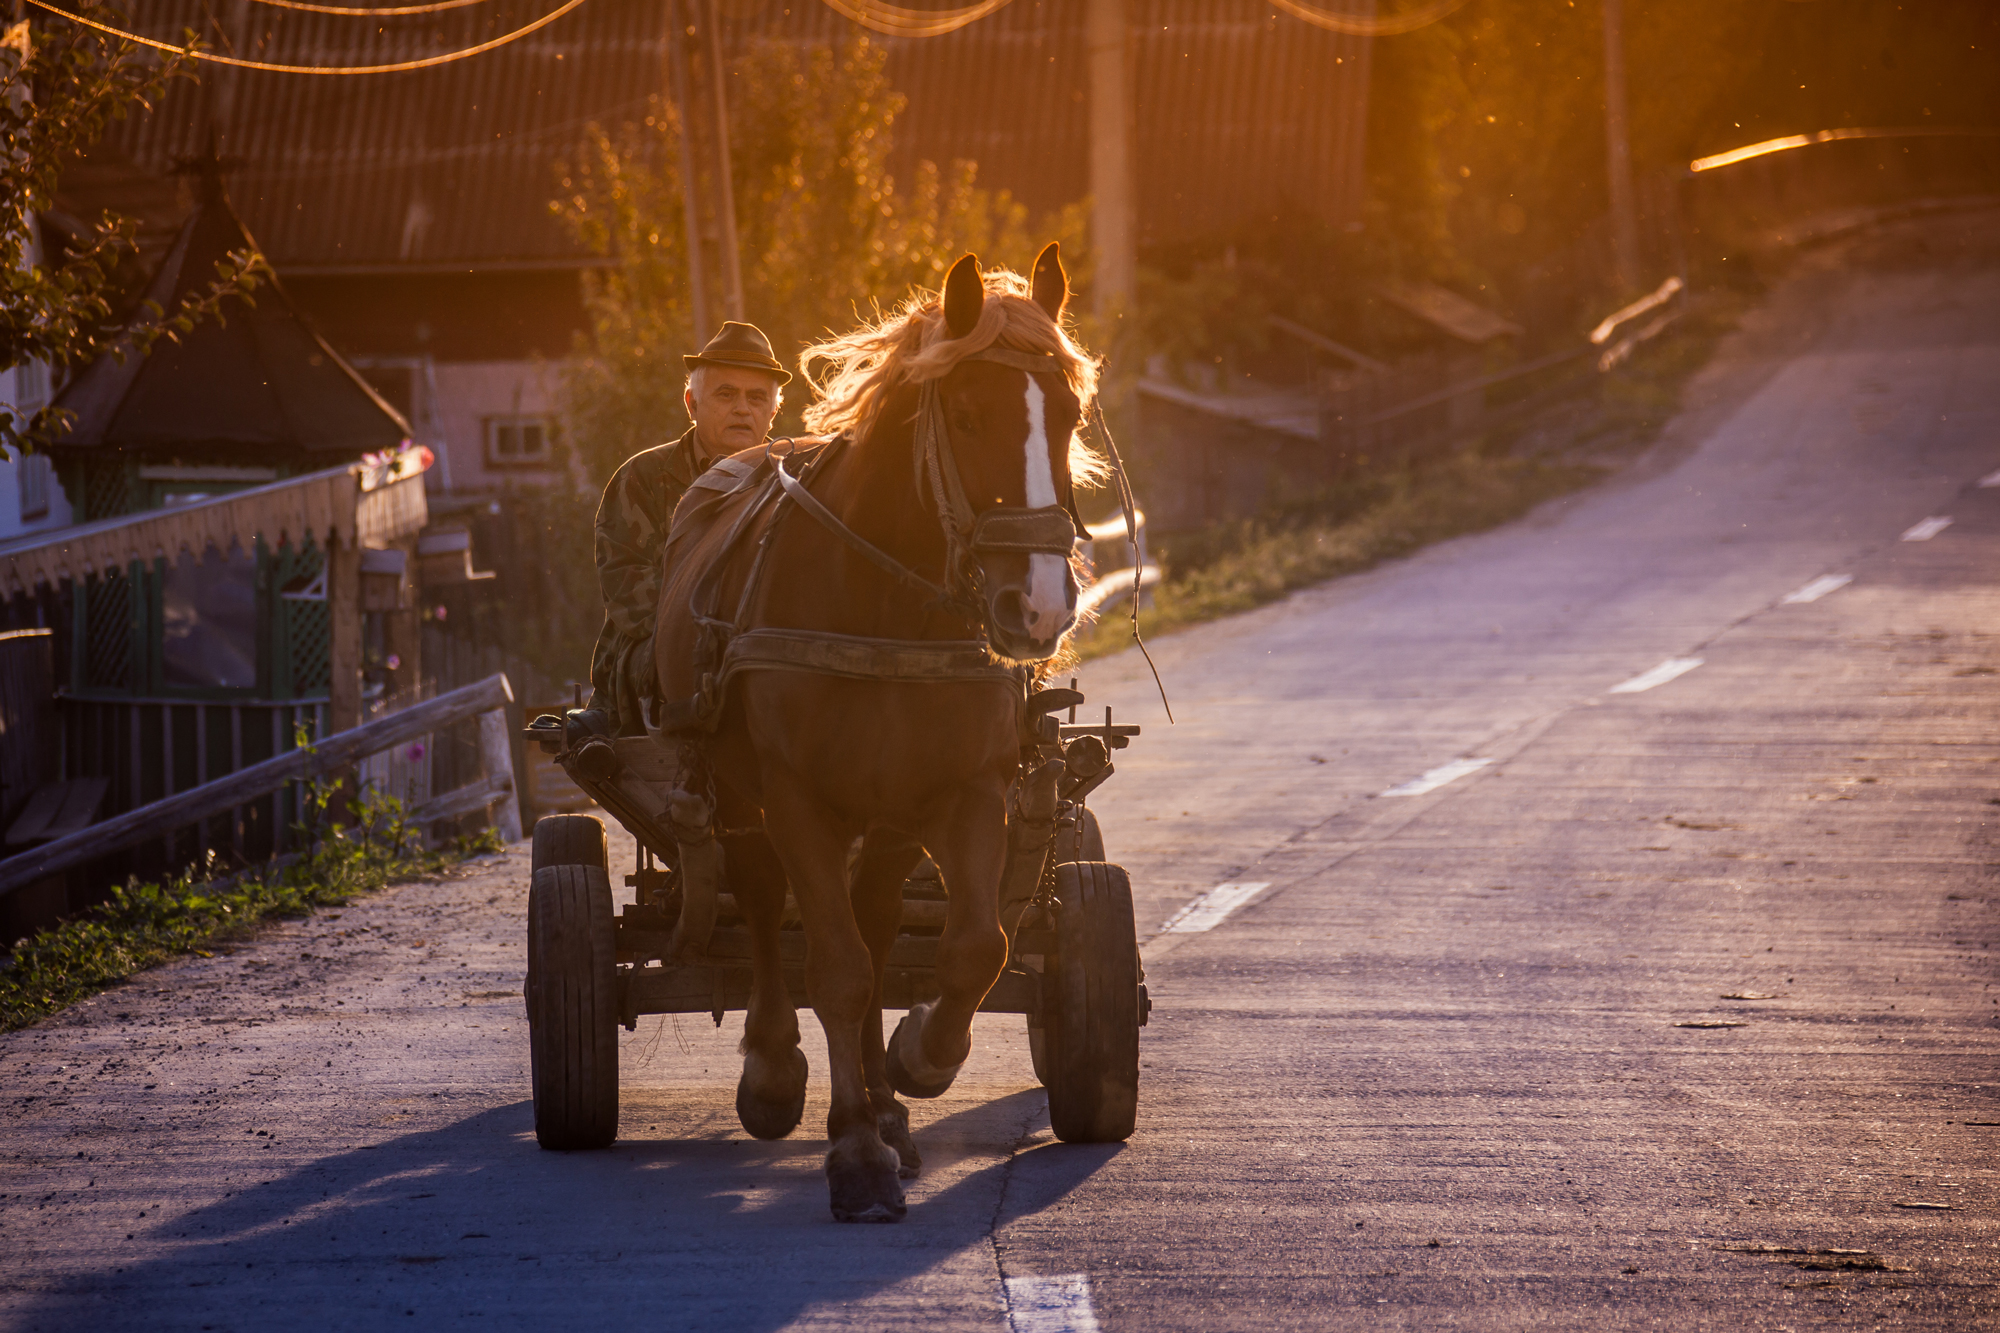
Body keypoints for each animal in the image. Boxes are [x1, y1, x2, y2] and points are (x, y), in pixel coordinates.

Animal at [651, 244, 1103, 1222]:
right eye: (967, 414)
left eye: (1071, 413)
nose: (1039, 605)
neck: (884, 606)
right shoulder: (798, 801)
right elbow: (837, 968)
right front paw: (854, 1149)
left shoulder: (967, 792)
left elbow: (973, 947)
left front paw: (917, 1059)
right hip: (742, 798)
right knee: (768, 906)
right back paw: (776, 1068)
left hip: (889, 819)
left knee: (881, 920)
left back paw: (892, 1103)